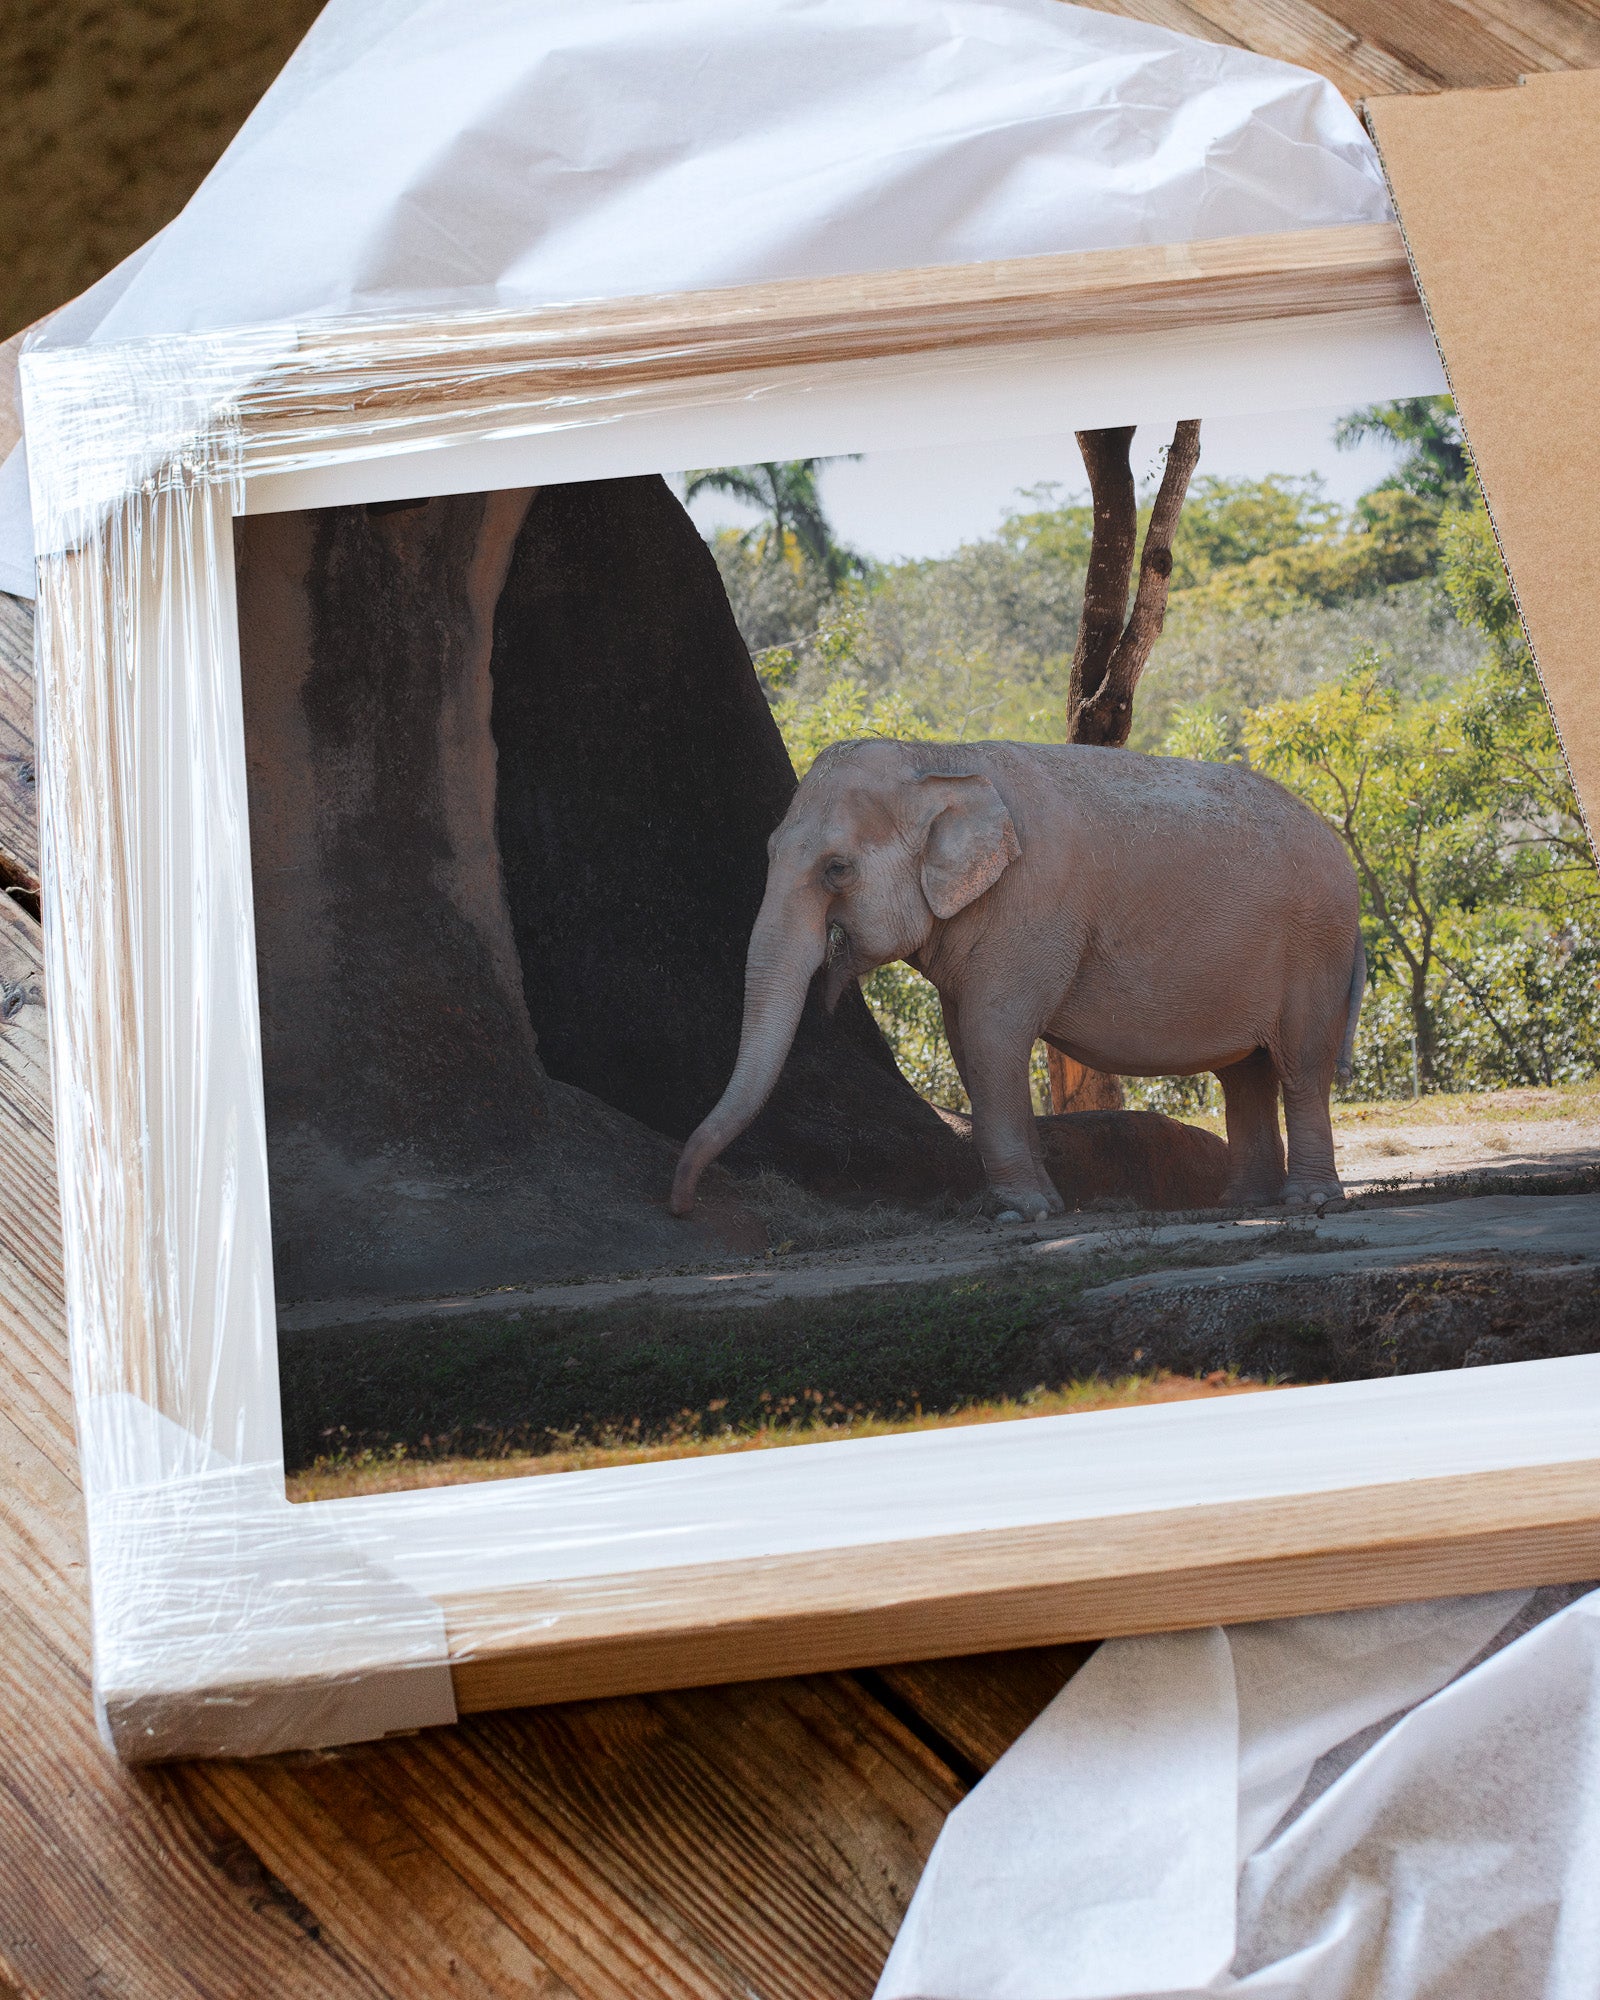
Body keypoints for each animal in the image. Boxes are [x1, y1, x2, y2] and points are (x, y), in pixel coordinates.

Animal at [670, 738, 1366, 1222]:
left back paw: (1308, 1202)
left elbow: (992, 1034)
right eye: (769, 853)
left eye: (836, 869)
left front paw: (1020, 1214)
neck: (937, 759)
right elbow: (968, 1041)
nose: (682, 1206)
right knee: (1245, 1073)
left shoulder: (1033, 911)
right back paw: (1242, 1205)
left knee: (1300, 1062)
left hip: (1317, 946)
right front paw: (1046, 1209)